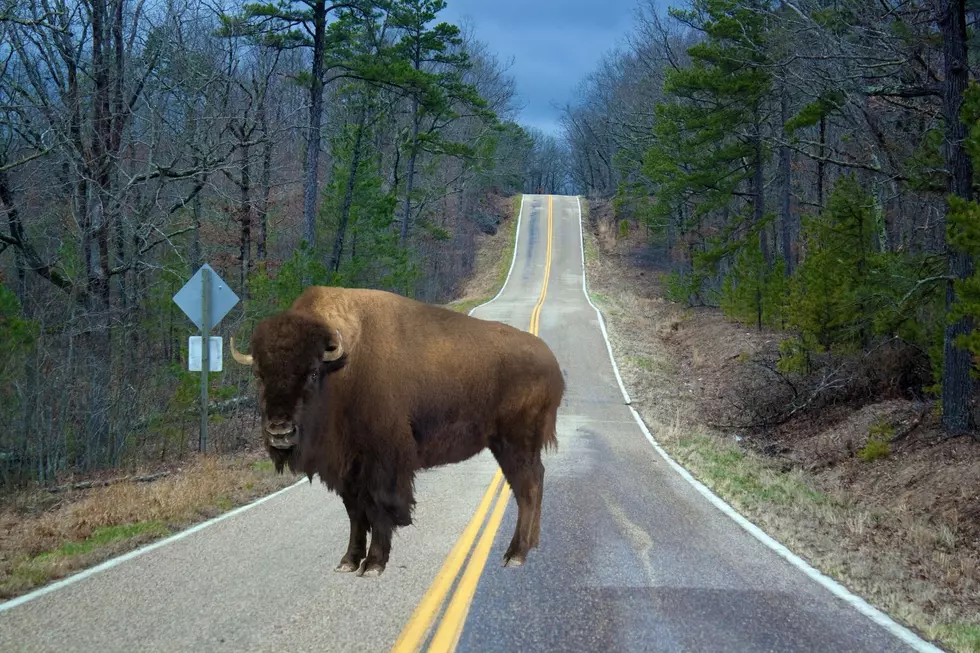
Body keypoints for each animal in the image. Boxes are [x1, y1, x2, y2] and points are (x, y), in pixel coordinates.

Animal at [231, 286, 565, 577]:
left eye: (312, 372)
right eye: (259, 375)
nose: (280, 432)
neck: (342, 370)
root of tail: (550, 361)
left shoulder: (382, 462)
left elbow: (379, 507)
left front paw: (374, 564)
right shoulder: (347, 470)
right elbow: (355, 513)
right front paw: (348, 561)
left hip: (514, 443)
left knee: (527, 488)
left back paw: (515, 554)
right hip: (510, 446)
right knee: (534, 481)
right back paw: (529, 547)